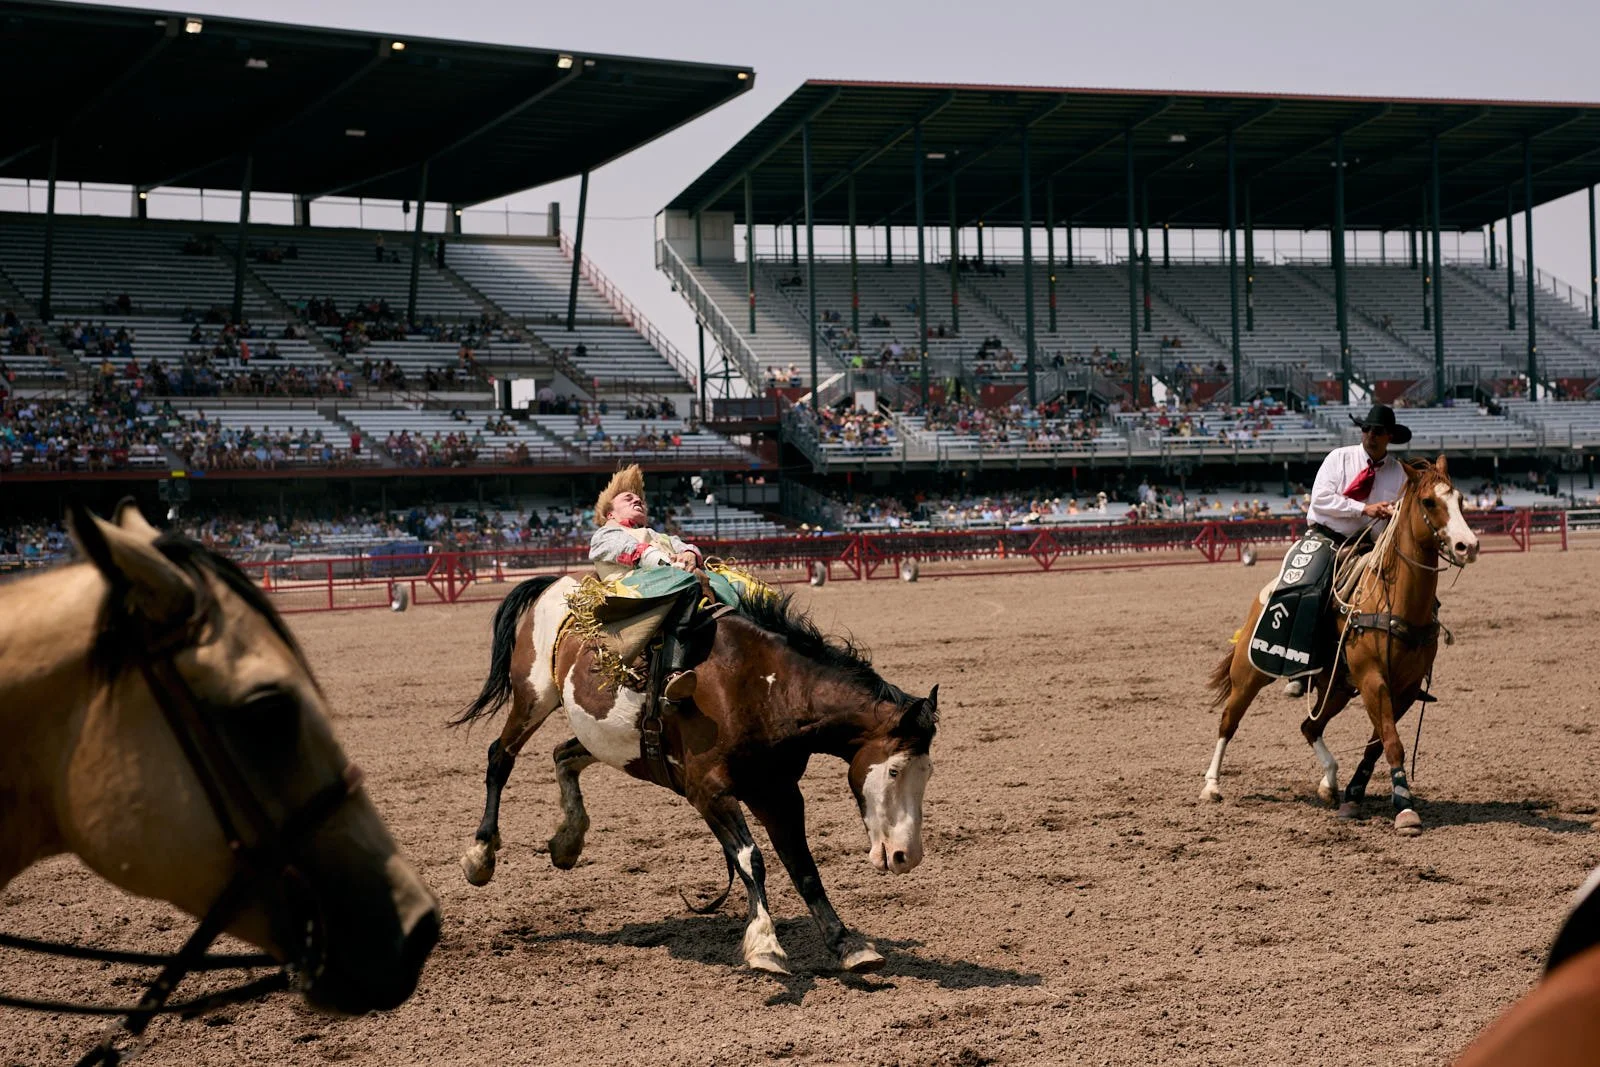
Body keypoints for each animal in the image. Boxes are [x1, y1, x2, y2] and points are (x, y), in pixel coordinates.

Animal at [452, 573, 940, 976]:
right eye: (894, 770)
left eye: (928, 773)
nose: (906, 856)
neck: (758, 686)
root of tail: (558, 584)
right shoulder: (709, 793)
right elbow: (751, 858)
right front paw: (765, 945)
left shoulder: (778, 792)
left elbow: (802, 866)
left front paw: (847, 944)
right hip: (533, 697)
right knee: (500, 757)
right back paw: (481, 855)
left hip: (602, 737)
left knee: (563, 756)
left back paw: (568, 840)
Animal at [1200, 455, 1480, 835]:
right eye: (1428, 502)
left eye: (1461, 500)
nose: (1468, 546)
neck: (1395, 600)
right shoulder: (1373, 679)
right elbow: (1392, 742)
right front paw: (1405, 808)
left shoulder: (1404, 688)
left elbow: (1377, 745)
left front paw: (1355, 793)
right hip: (1251, 672)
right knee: (1229, 721)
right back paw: (1212, 785)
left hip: (1336, 689)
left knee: (1310, 727)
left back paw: (1329, 783)